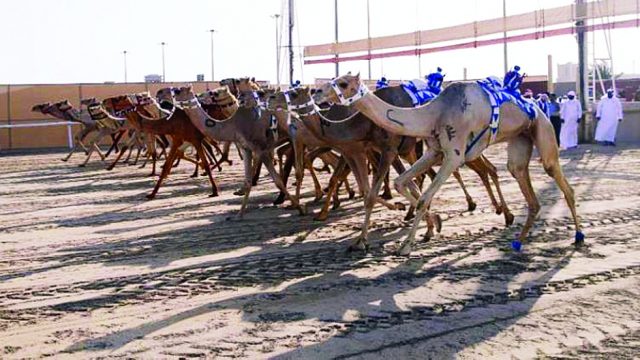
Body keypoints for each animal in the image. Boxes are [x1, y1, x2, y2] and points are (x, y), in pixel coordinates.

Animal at [174, 86, 306, 218]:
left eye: (178, 91)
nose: (199, 95)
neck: (233, 124)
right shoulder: (246, 148)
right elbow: (248, 181)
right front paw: (239, 214)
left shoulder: (260, 149)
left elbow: (277, 180)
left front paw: (300, 208)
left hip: (295, 137)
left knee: (298, 170)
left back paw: (295, 203)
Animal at [312, 73, 584, 255]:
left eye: (343, 83)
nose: (316, 92)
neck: (434, 113)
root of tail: (537, 107)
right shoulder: (434, 151)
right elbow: (401, 183)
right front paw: (431, 223)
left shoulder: (454, 155)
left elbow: (423, 196)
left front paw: (406, 245)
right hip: (520, 139)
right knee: (522, 182)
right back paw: (518, 239)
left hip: (543, 131)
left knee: (560, 180)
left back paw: (578, 236)